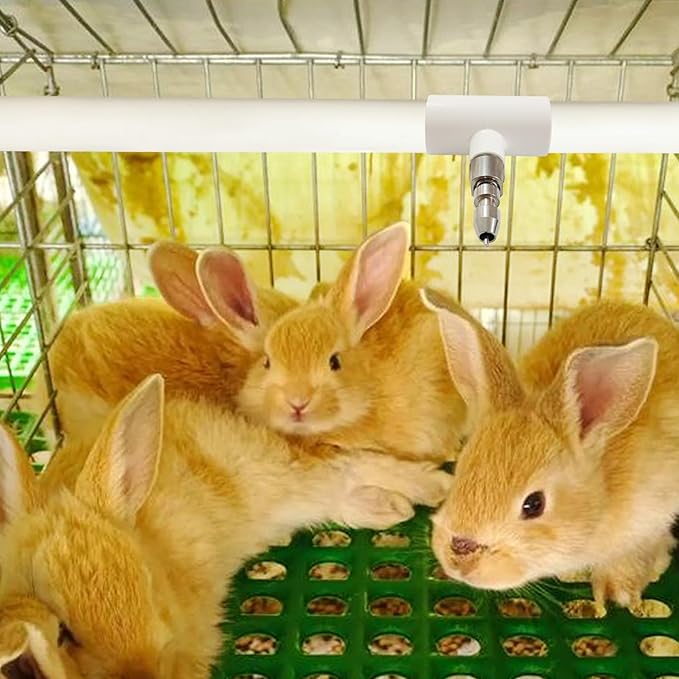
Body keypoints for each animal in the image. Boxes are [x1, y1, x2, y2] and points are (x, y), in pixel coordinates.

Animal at [0, 374, 450, 678]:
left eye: (147, 585)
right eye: (64, 632)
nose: (144, 669)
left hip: (265, 472)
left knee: (340, 469)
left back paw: (430, 487)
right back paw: (391, 505)